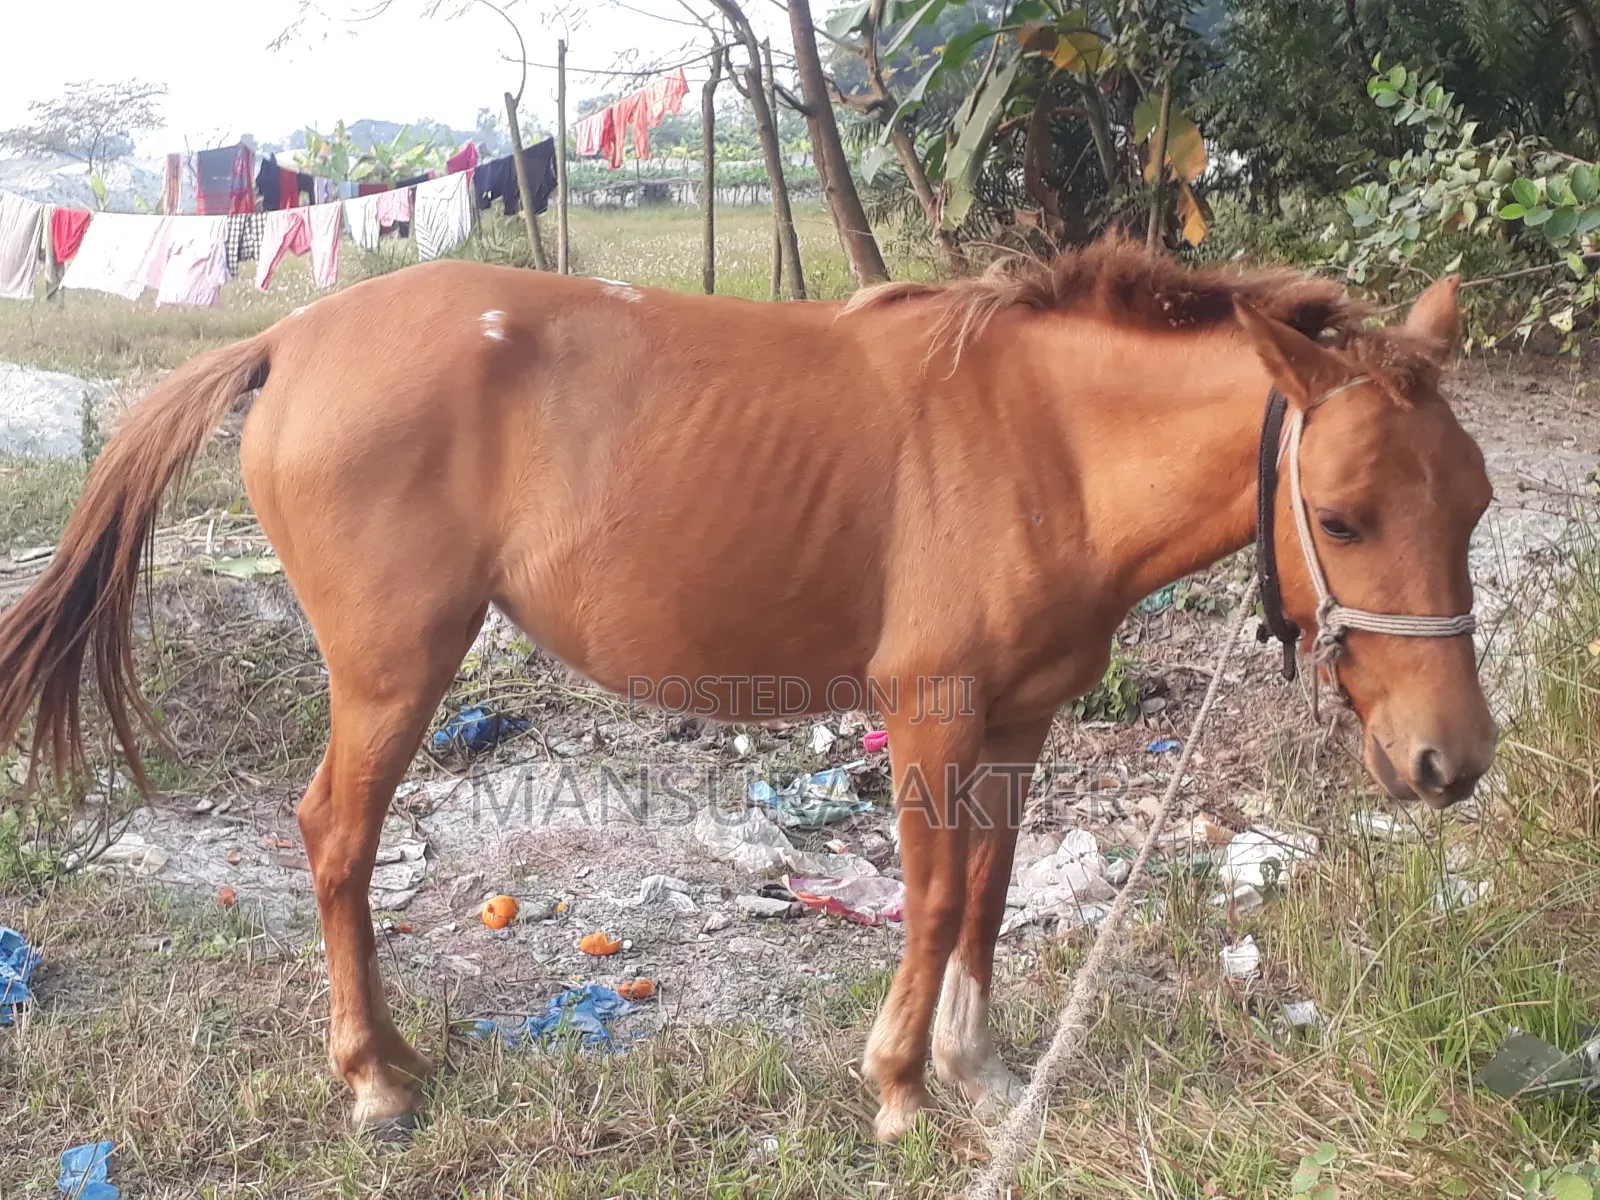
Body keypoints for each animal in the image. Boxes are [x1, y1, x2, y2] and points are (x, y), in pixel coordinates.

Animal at [0, 238, 1494, 1141]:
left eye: (1472, 503)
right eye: (1343, 516)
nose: (1453, 761)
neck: (1046, 443)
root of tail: (293, 338)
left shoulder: (1018, 720)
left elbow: (990, 895)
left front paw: (979, 1071)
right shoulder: (930, 712)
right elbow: (934, 897)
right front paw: (899, 1085)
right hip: (390, 670)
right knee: (335, 840)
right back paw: (374, 1077)